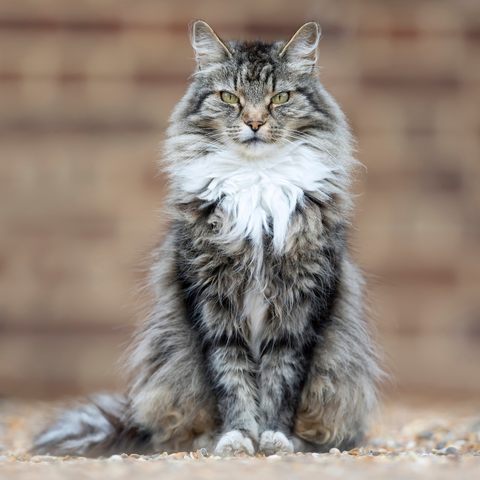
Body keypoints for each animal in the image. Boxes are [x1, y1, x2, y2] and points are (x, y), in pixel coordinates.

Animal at [32, 19, 382, 458]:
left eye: (280, 97)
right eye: (229, 97)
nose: (254, 123)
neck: (256, 184)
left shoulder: (300, 307)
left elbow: (281, 382)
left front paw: (275, 438)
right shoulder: (211, 303)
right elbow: (231, 380)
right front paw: (237, 438)